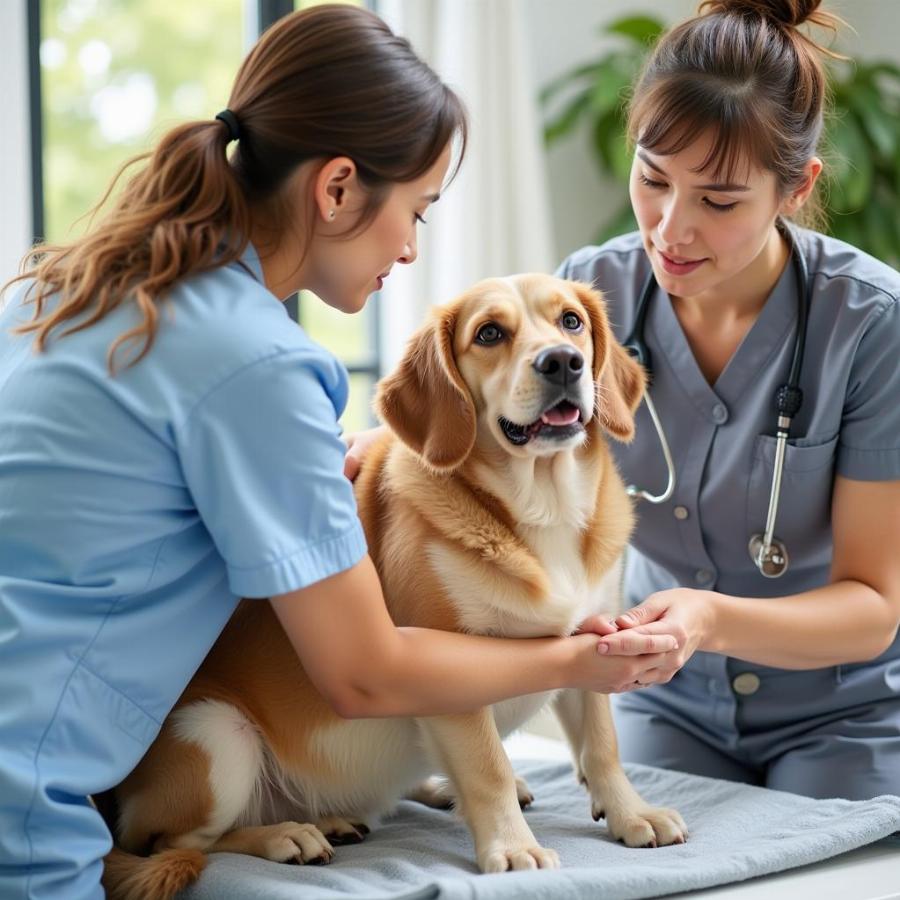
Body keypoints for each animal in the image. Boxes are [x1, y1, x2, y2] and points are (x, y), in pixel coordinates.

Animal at [102, 276, 684, 900]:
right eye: (489, 334)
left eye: (571, 321)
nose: (562, 362)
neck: (541, 506)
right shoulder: (451, 666)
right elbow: (489, 769)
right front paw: (512, 847)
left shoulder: (589, 646)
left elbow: (602, 748)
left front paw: (632, 814)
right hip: (217, 736)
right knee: (179, 844)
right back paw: (288, 833)